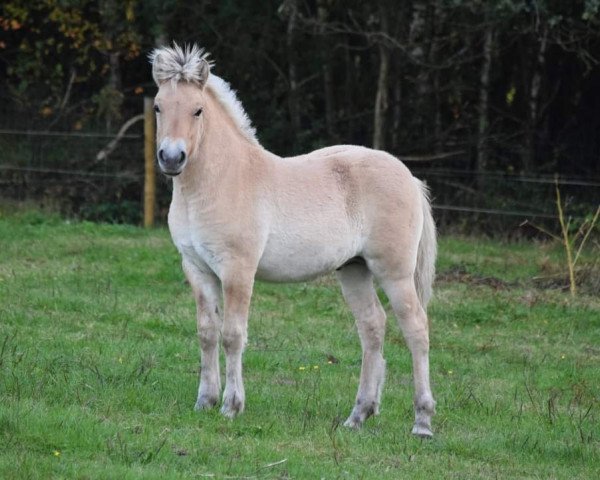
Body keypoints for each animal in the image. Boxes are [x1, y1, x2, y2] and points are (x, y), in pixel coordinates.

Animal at [150, 43, 436, 436]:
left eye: (198, 110)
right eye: (158, 107)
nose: (171, 157)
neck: (218, 181)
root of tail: (409, 176)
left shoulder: (238, 269)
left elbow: (232, 334)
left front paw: (231, 406)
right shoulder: (196, 268)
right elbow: (207, 332)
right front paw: (204, 401)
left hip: (394, 272)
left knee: (416, 329)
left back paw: (422, 422)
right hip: (354, 269)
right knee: (373, 328)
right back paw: (358, 415)